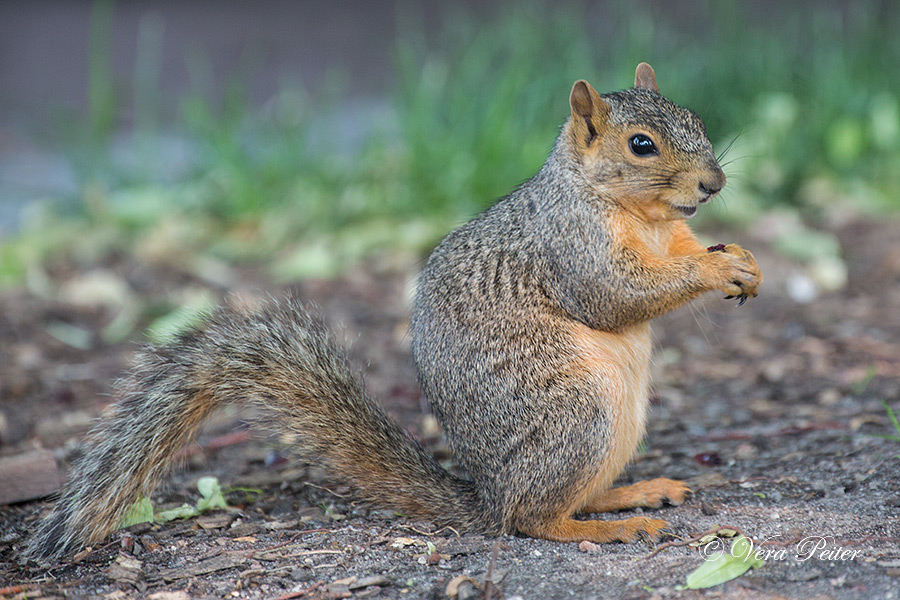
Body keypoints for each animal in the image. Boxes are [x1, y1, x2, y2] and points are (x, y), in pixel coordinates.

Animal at [26, 63, 760, 560]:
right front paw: (714, 269)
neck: (647, 219)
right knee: (530, 518)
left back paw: (631, 493)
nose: (715, 183)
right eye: (641, 145)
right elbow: (614, 295)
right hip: (577, 412)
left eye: (695, 119)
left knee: (558, 496)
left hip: (616, 424)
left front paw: (743, 261)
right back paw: (611, 526)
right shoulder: (571, 246)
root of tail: (485, 496)